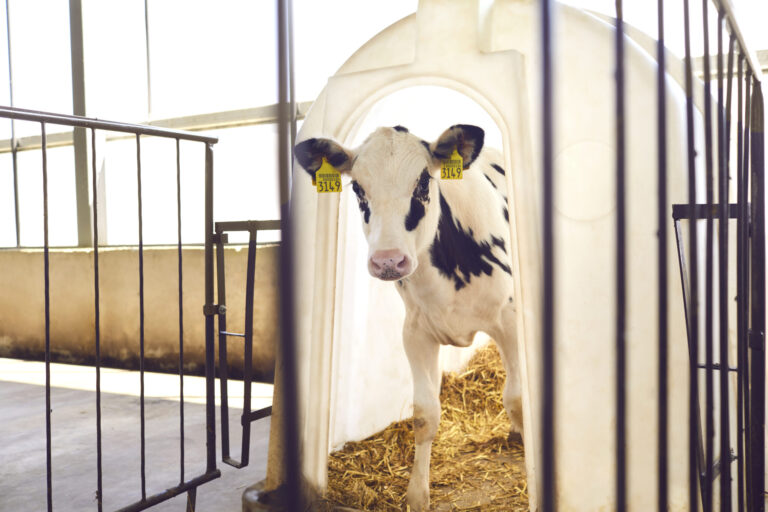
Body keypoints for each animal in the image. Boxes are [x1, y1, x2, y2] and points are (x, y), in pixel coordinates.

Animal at [294, 124, 520, 512]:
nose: (388, 260)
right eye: (357, 188)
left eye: (423, 182)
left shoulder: (509, 319)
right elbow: (425, 415)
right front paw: (417, 495)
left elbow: (517, 399)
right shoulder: (415, 332)